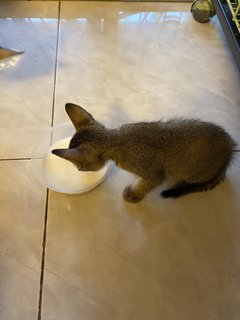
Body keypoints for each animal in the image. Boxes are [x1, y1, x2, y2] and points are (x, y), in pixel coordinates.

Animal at [51, 103, 237, 202]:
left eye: (80, 168)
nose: (79, 171)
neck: (120, 139)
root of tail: (231, 148)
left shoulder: (155, 176)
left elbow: (143, 185)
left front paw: (133, 195)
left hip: (194, 174)